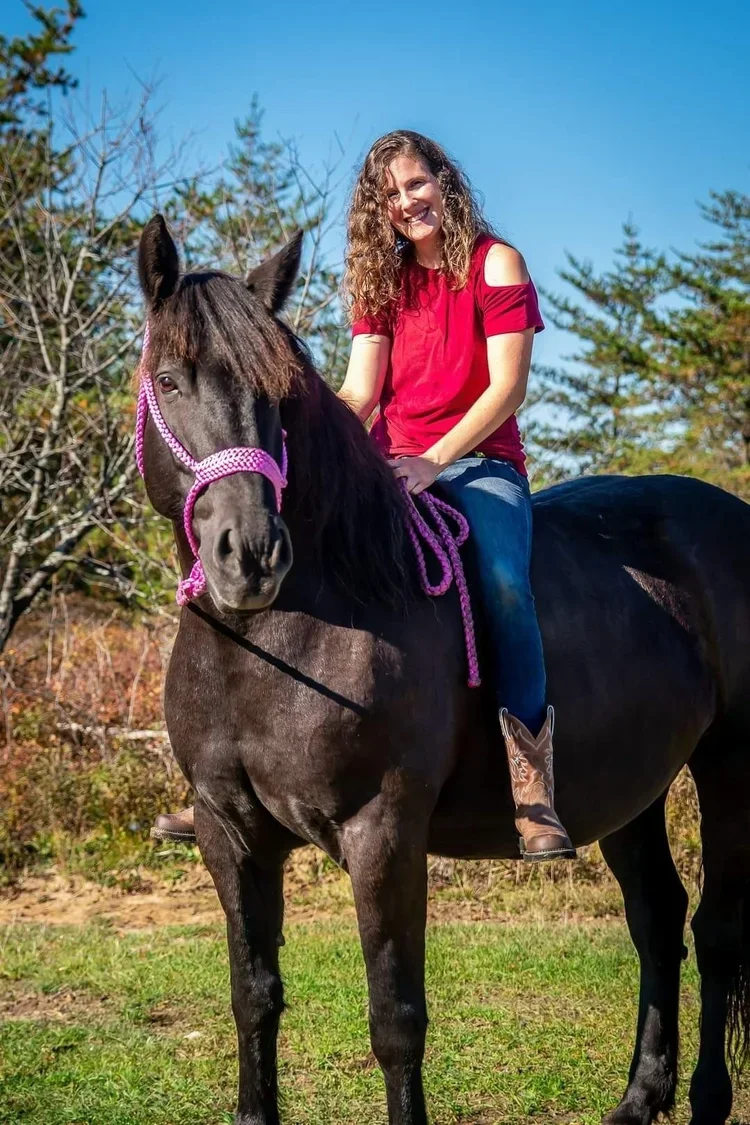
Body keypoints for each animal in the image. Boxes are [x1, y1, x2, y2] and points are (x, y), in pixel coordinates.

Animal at [135, 213, 750, 1125]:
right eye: (170, 379)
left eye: (280, 394)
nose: (252, 555)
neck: (281, 643)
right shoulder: (229, 832)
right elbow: (253, 996)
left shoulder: (384, 834)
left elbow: (395, 1020)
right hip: (632, 781)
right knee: (657, 918)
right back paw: (640, 1096)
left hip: (731, 765)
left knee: (717, 930)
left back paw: (706, 1098)